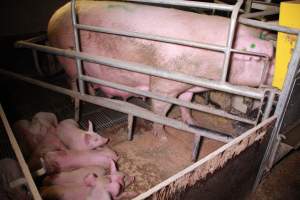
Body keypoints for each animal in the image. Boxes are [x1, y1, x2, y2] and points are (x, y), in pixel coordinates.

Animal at [48, 0, 276, 136]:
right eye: (266, 61)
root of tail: (56, 14)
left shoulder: (188, 87)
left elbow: (186, 104)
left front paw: (191, 122)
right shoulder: (163, 83)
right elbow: (160, 110)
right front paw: (163, 135)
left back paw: (92, 91)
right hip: (67, 57)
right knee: (72, 80)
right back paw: (78, 98)